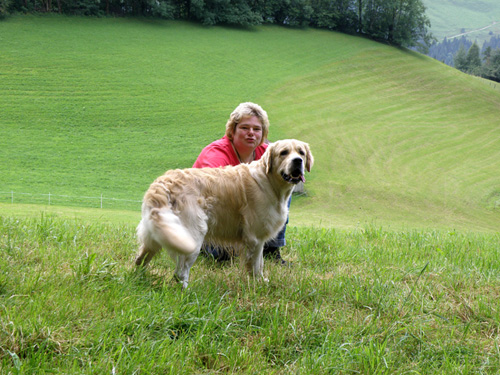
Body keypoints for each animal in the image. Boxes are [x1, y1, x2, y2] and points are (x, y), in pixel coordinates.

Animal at [134, 140, 312, 290]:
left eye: (301, 152)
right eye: (283, 153)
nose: (298, 161)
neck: (268, 181)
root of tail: (163, 182)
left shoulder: (258, 239)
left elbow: (260, 263)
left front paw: (262, 281)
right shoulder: (254, 238)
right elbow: (256, 265)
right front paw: (258, 284)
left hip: (158, 232)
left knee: (140, 259)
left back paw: (139, 278)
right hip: (191, 236)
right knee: (180, 273)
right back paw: (187, 292)